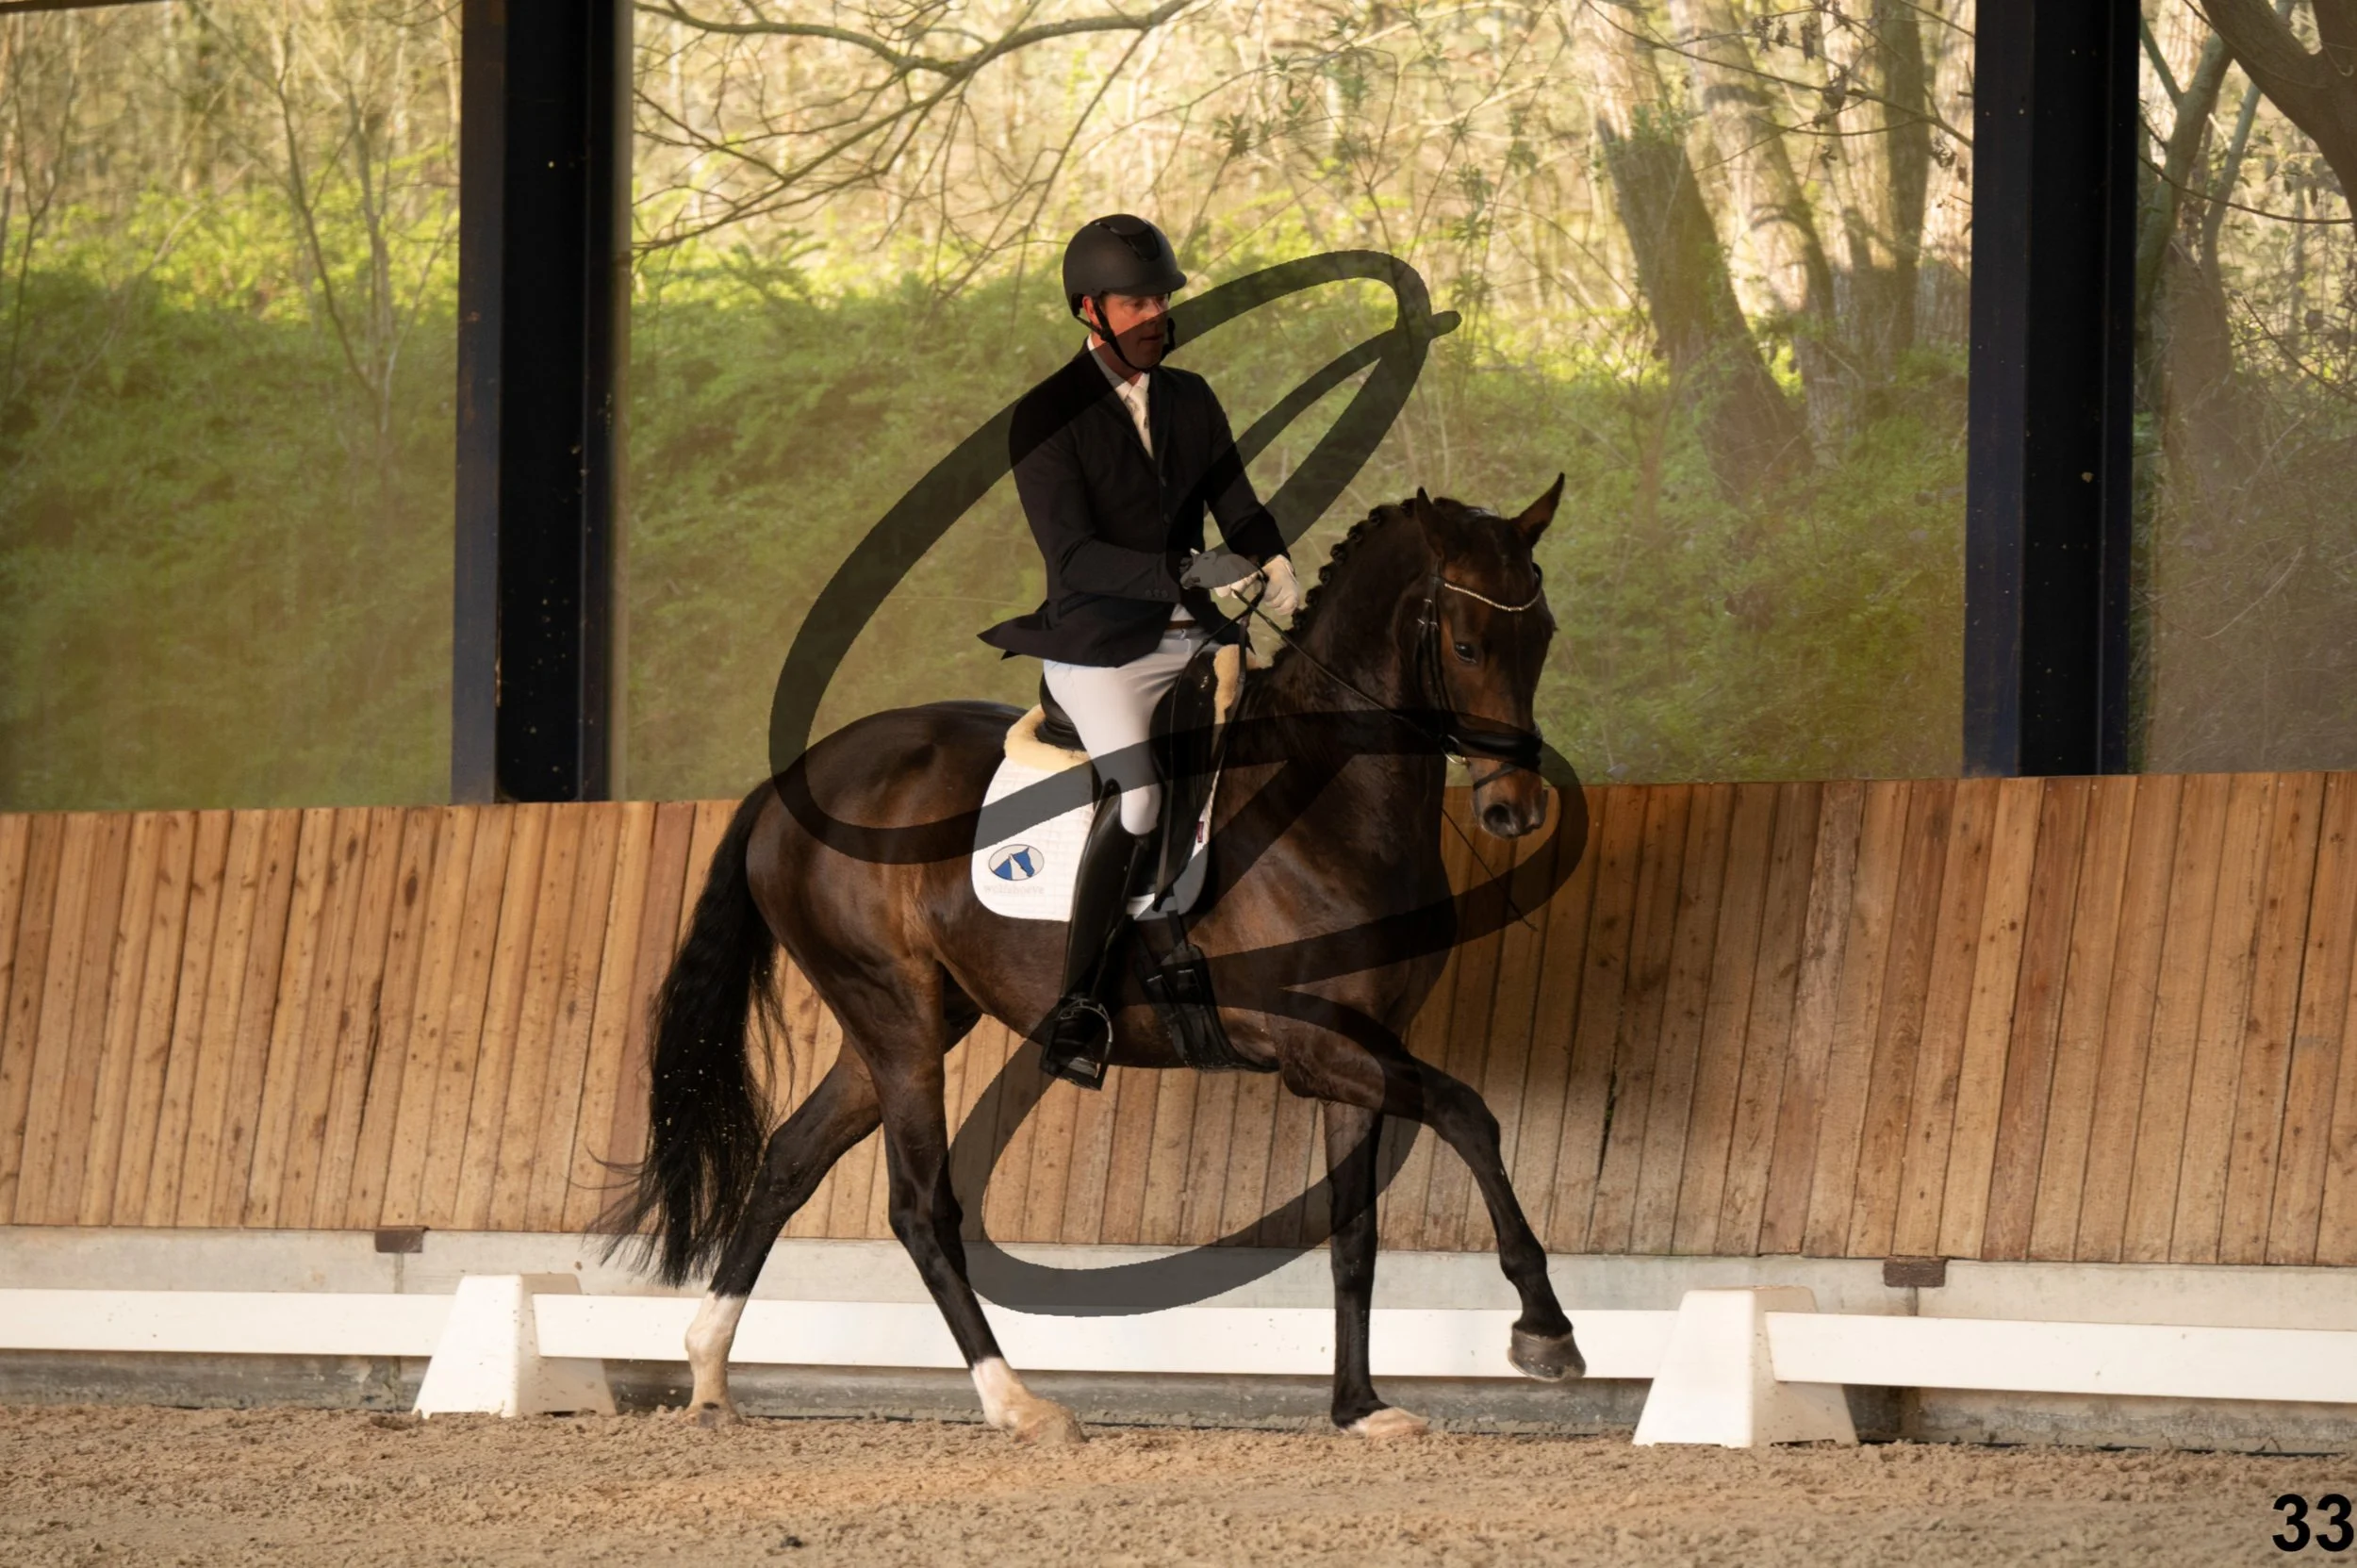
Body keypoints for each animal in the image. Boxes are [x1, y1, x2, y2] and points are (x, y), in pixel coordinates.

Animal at [603, 478, 1587, 1443]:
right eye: (1466, 644)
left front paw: (1360, 1407)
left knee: (788, 1161)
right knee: (919, 1206)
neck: (1324, 798)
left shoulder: (1360, 1048)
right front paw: (1544, 1330)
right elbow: (1471, 1116)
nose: (1517, 808)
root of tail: (789, 784)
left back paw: (708, 1372)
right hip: (897, 1019)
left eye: (1543, 637)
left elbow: (1357, 1236)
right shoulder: (1319, 1048)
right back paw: (1016, 1402)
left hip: (900, 1021)